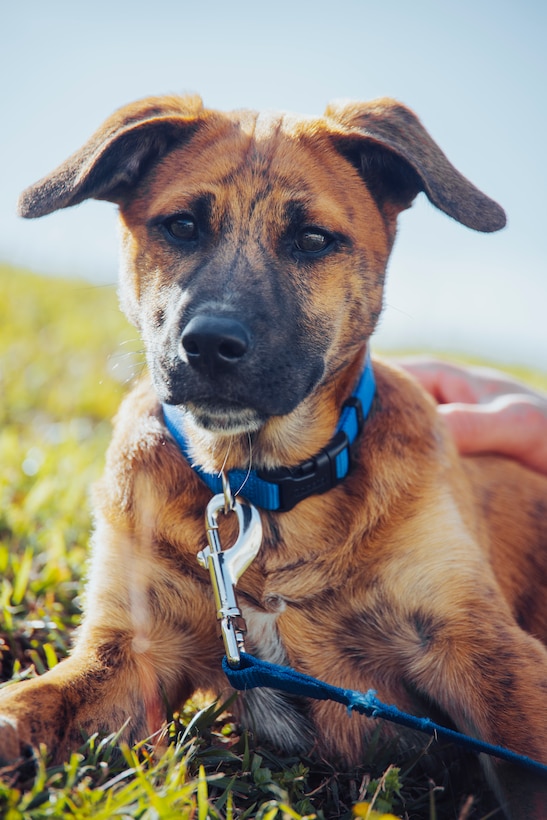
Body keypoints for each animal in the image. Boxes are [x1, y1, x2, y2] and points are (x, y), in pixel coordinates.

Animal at [1, 94, 547, 812]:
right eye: (181, 226)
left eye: (312, 239)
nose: (210, 344)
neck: (257, 480)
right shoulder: (128, 655)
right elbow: (28, 705)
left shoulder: (486, 651)